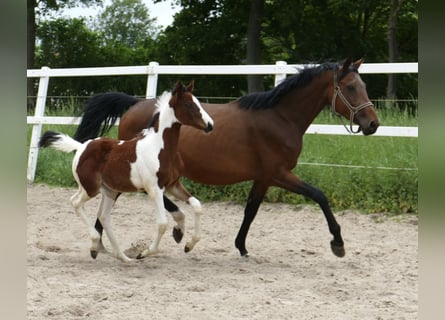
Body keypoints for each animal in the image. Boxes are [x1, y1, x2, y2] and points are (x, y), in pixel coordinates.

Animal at [39, 81, 212, 262]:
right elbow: (162, 223)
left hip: (110, 190)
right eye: (188, 104)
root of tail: (81, 147)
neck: (160, 148)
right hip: (91, 189)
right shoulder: (154, 189)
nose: (210, 125)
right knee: (75, 202)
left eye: (198, 103)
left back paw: (122, 257)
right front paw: (143, 253)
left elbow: (197, 205)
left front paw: (188, 245)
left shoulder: (173, 185)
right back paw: (96, 245)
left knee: (104, 216)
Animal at [73, 58, 378, 258]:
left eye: (363, 84)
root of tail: (134, 104)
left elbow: (251, 211)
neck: (280, 118)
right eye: (350, 87)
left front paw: (241, 247)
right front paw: (338, 244)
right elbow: (319, 196)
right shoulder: (280, 174)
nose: (373, 124)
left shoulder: (264, 178)